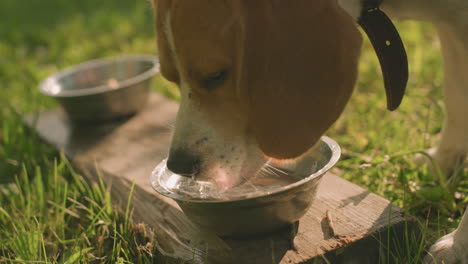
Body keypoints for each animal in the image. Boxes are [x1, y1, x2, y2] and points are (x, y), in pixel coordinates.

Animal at [152, 0, 466, 262]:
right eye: (170, 77)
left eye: (216, 75)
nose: (178, 164)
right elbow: (456, 99)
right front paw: (444, 161)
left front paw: (457, 246)